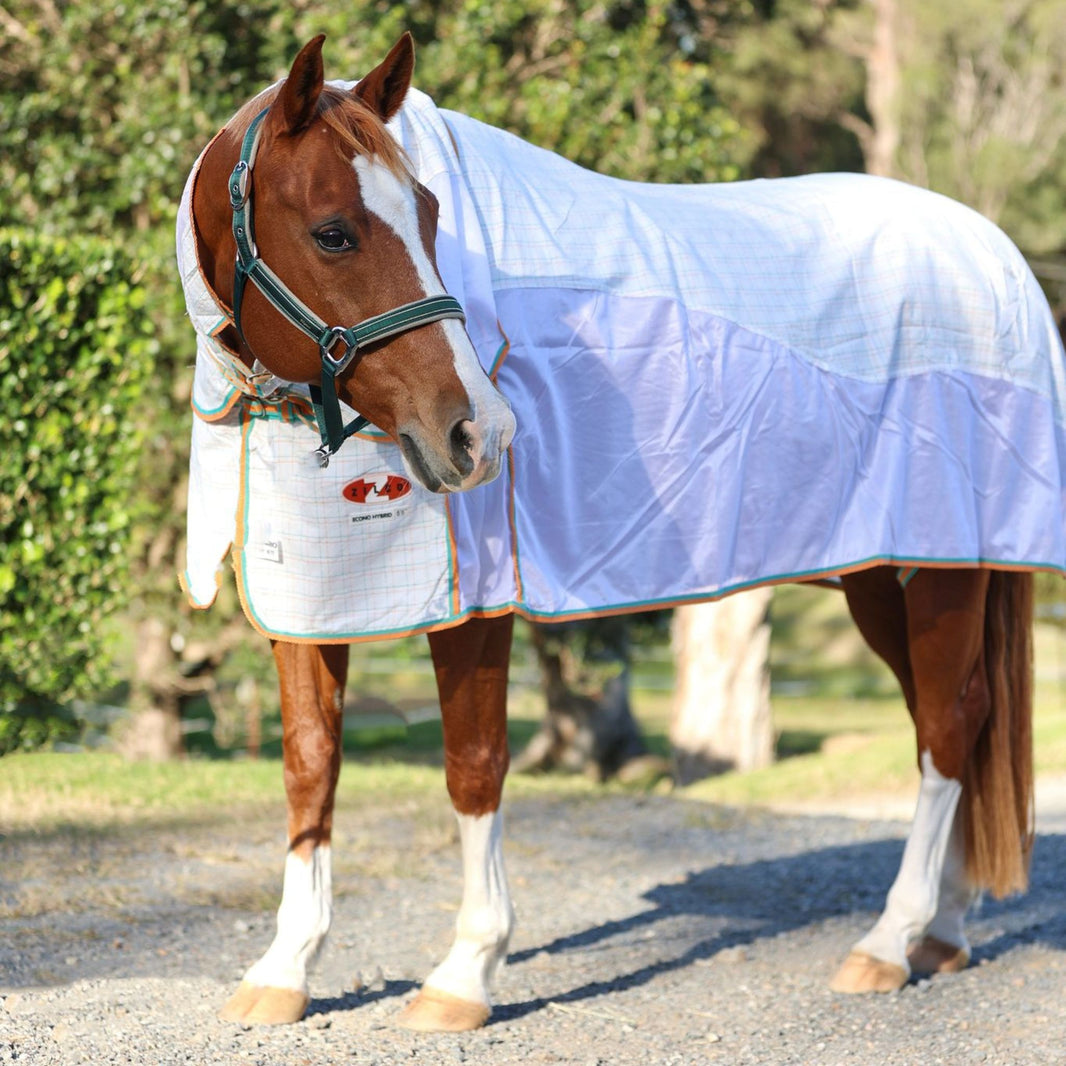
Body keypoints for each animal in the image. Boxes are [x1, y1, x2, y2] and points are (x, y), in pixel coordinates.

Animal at [179, 33, 1058, 1033]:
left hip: (943, 568)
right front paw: (285, 968)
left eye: (432, 215)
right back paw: (940, 933)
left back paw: (887, 941)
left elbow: (473, 766)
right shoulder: (306, 601)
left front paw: (465, 973)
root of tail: (990, 251)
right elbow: (310, 766)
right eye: (333, 231)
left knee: (949, 724)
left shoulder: (477, 608)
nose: (481, 435)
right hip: (880, 576)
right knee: (945, 722)